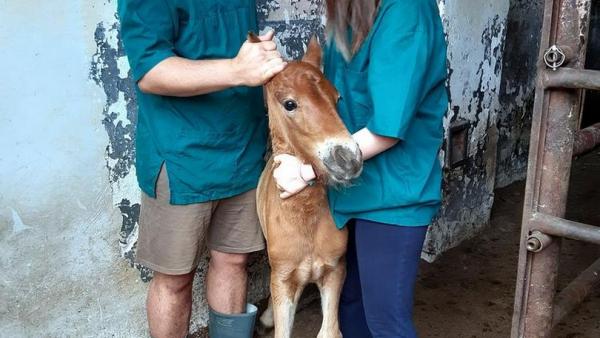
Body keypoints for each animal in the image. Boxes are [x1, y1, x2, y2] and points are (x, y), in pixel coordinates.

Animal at [253, 35, 360, 336]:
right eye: (289, 104)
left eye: (337, 98)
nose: (348, 159)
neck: (304, 217)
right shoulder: (283, 278)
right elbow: (281, 330)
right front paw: (269, 319)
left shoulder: (335, 270)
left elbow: (329, 331)